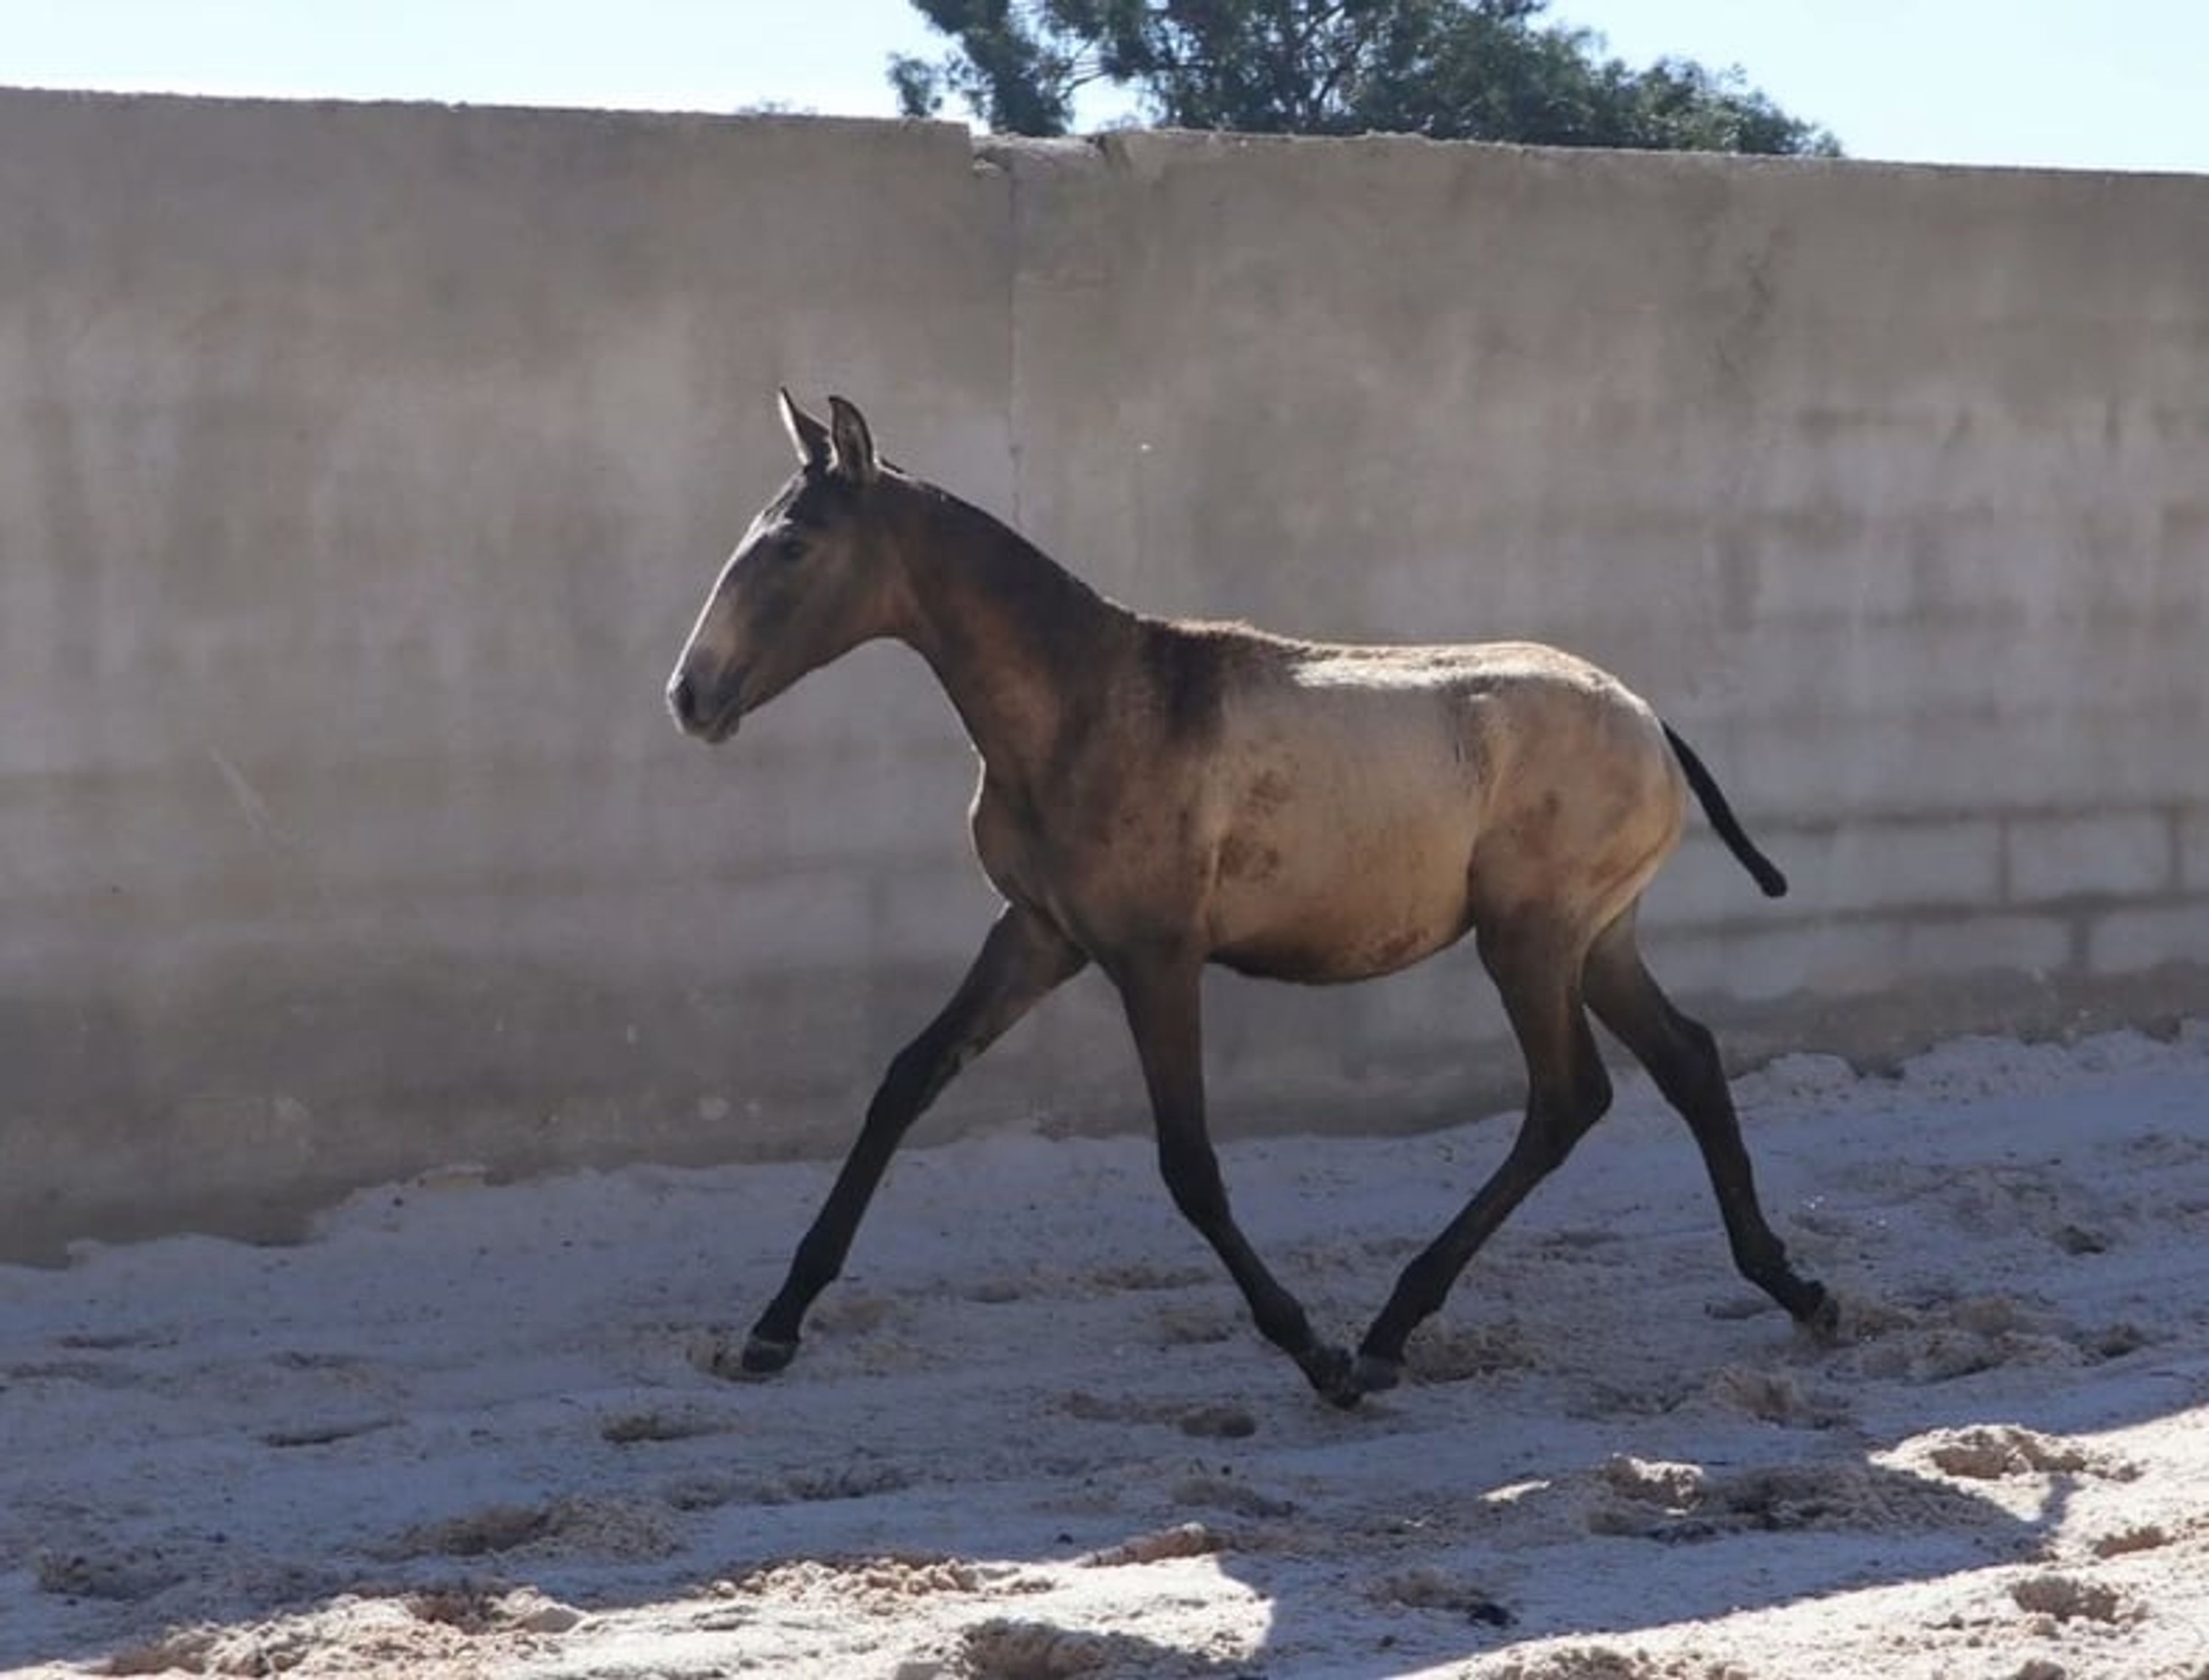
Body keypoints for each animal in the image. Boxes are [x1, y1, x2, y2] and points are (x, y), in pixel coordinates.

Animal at [667, 390, 1833, 1407]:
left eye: (793, 546)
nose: (690, 696)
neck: (1089, 707)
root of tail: (1646, 718)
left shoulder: (1155, 956)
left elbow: (1189, 1162)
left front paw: (1311, 1350)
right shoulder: (1040, 935)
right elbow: (906, 1083)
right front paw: (772, 1328)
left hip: (1531, 940)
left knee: (1567, 1098)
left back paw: (1384, 1337)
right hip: (1597, 941)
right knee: (1687, 1060)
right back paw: (1796, 1289)